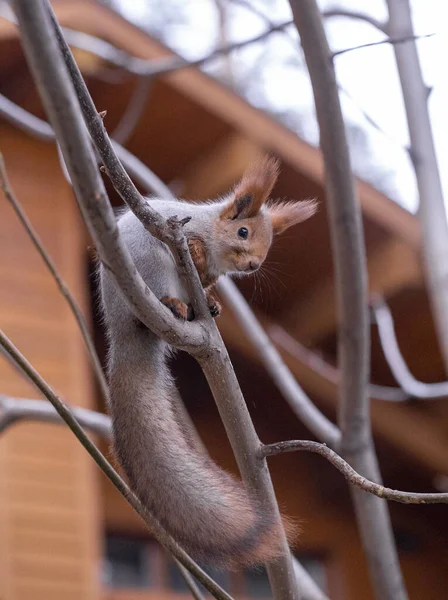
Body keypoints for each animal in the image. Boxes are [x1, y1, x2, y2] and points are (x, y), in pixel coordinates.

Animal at [100, 155, 316, 568]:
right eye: (243, 231)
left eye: (270, 243)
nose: (254, 265)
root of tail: (121, 331)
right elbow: (195, 250)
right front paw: (197, 251)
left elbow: (205, 281)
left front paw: (213, 298)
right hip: (150, 267)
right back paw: (174, 303)